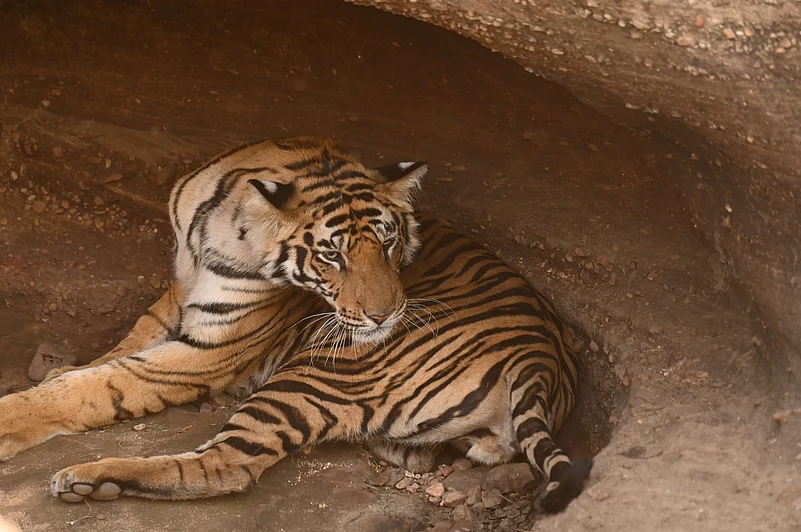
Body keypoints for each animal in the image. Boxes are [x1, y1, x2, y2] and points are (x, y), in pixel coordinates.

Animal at [0, 137, 591, 514]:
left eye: (390, 244)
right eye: (333, 256)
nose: (387, 316)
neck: (216, 230)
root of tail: (543, 361)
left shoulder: (212, 348)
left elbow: (102, 383)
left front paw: (16, 414)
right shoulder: (177, 293)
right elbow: (115, 354)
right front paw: (57, 372)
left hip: (313, 375)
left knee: (226, 466)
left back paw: (87, 480)